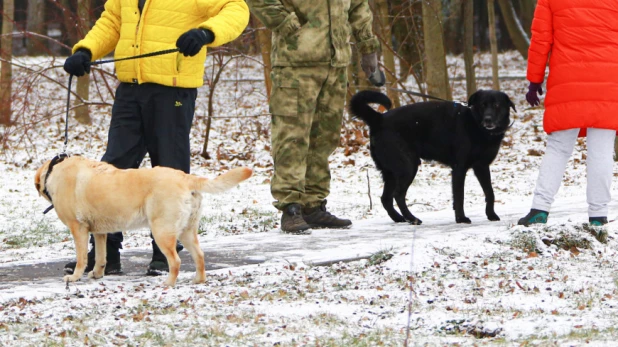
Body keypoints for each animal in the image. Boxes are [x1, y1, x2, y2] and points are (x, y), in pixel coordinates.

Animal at [33, 156, 250, 286]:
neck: (53, 171)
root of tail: (186, 177)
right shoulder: (100, 232)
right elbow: (101, 256)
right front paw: (97, 273)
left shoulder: (78, 229)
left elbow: (81, 258)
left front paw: (75, 277)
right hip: (187, 231)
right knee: (200, 256)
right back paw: (198, 280)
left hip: (161, 231)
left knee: (176, 261)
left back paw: (168, 283)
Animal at [348, 89, 512, 226]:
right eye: (482, 105)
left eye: (497, 105)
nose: (488, 119)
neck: (475, 124)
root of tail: (378, 119)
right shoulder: (459, 168)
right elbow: (459, 196)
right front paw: (461, 218)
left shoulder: (482, 166)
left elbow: (490, 192)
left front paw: (491, 215)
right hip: (408, 167)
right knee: (398, 195)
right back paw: (412, 218)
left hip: (391, 172)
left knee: (386, 198)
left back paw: (399, 218)